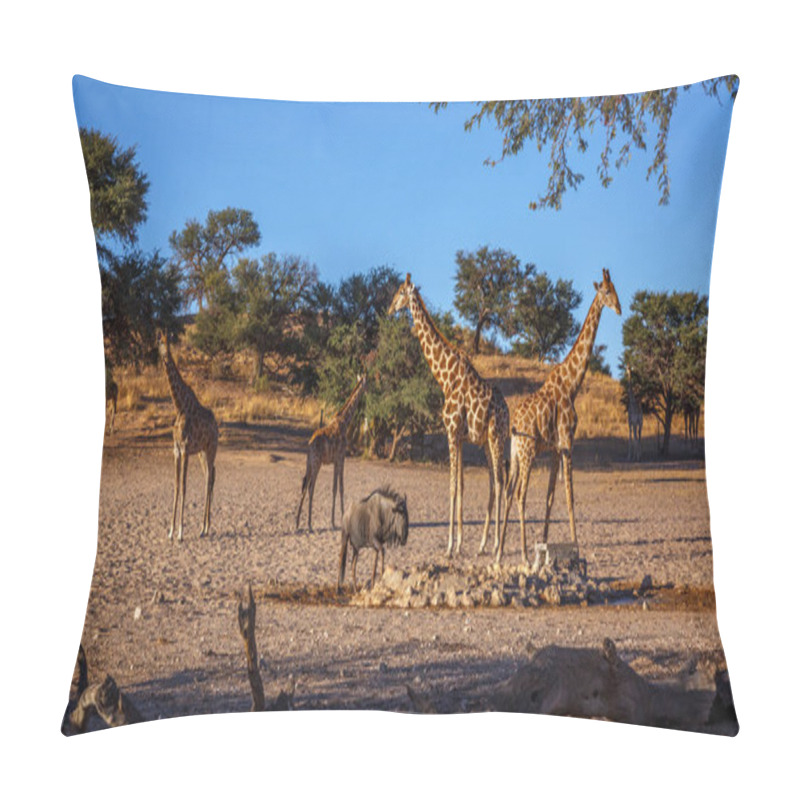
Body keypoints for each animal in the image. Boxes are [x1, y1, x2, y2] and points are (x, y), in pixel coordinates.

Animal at [158, 328, 219, 540]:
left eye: (169, 342)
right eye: (159, 341)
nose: (166, 355)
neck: (179, 406)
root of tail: (217, 425)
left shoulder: (184, 449)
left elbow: (184, 487)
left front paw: (180, 532)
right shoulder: (176, 450)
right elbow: (176, 486)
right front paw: (170, 531)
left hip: (211, 448)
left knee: (209, 479)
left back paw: (204, 528)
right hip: (201, 452)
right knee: (210, 476)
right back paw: (205, 527)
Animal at [296, 374, 368, 532]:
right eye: (368, 382)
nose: (367, 392)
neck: (345, 422)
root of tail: (310, 445)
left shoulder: (335, 461)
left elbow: (335, 488)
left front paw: (334, 520)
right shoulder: (341, 458)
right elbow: (340, 488)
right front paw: (339, 519)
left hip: (309, 464)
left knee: (304, 488)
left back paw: (297, 523)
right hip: (317, 464)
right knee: (311, 488)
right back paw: (309, 525)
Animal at [386, 274, 506, 556]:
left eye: (400, 292)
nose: (389, 308)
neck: (445, 377)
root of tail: (507, 411)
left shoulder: (451, 432)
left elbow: (451, 487)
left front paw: (450, 546)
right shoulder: (460, 437)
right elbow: (460, 486)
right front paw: (460, 543)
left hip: (496, 437)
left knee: (501, 482)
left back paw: (498, 545)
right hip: (486, 442)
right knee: (494, 484)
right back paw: (483, 545)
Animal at [496, 268, 620, 564]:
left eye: (615, 289)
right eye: (606, 291)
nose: (620, 309)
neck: (572, 384)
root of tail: (514, 425)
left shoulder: (554, 448)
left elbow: (551, 497)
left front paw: (545, 544)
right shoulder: (567, 442)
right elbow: (570, 496)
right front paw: (576, 546)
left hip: (516, 455)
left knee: (509, 492)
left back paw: (500, 552)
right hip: (528, 453)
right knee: (520, 495)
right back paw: (523, 555)